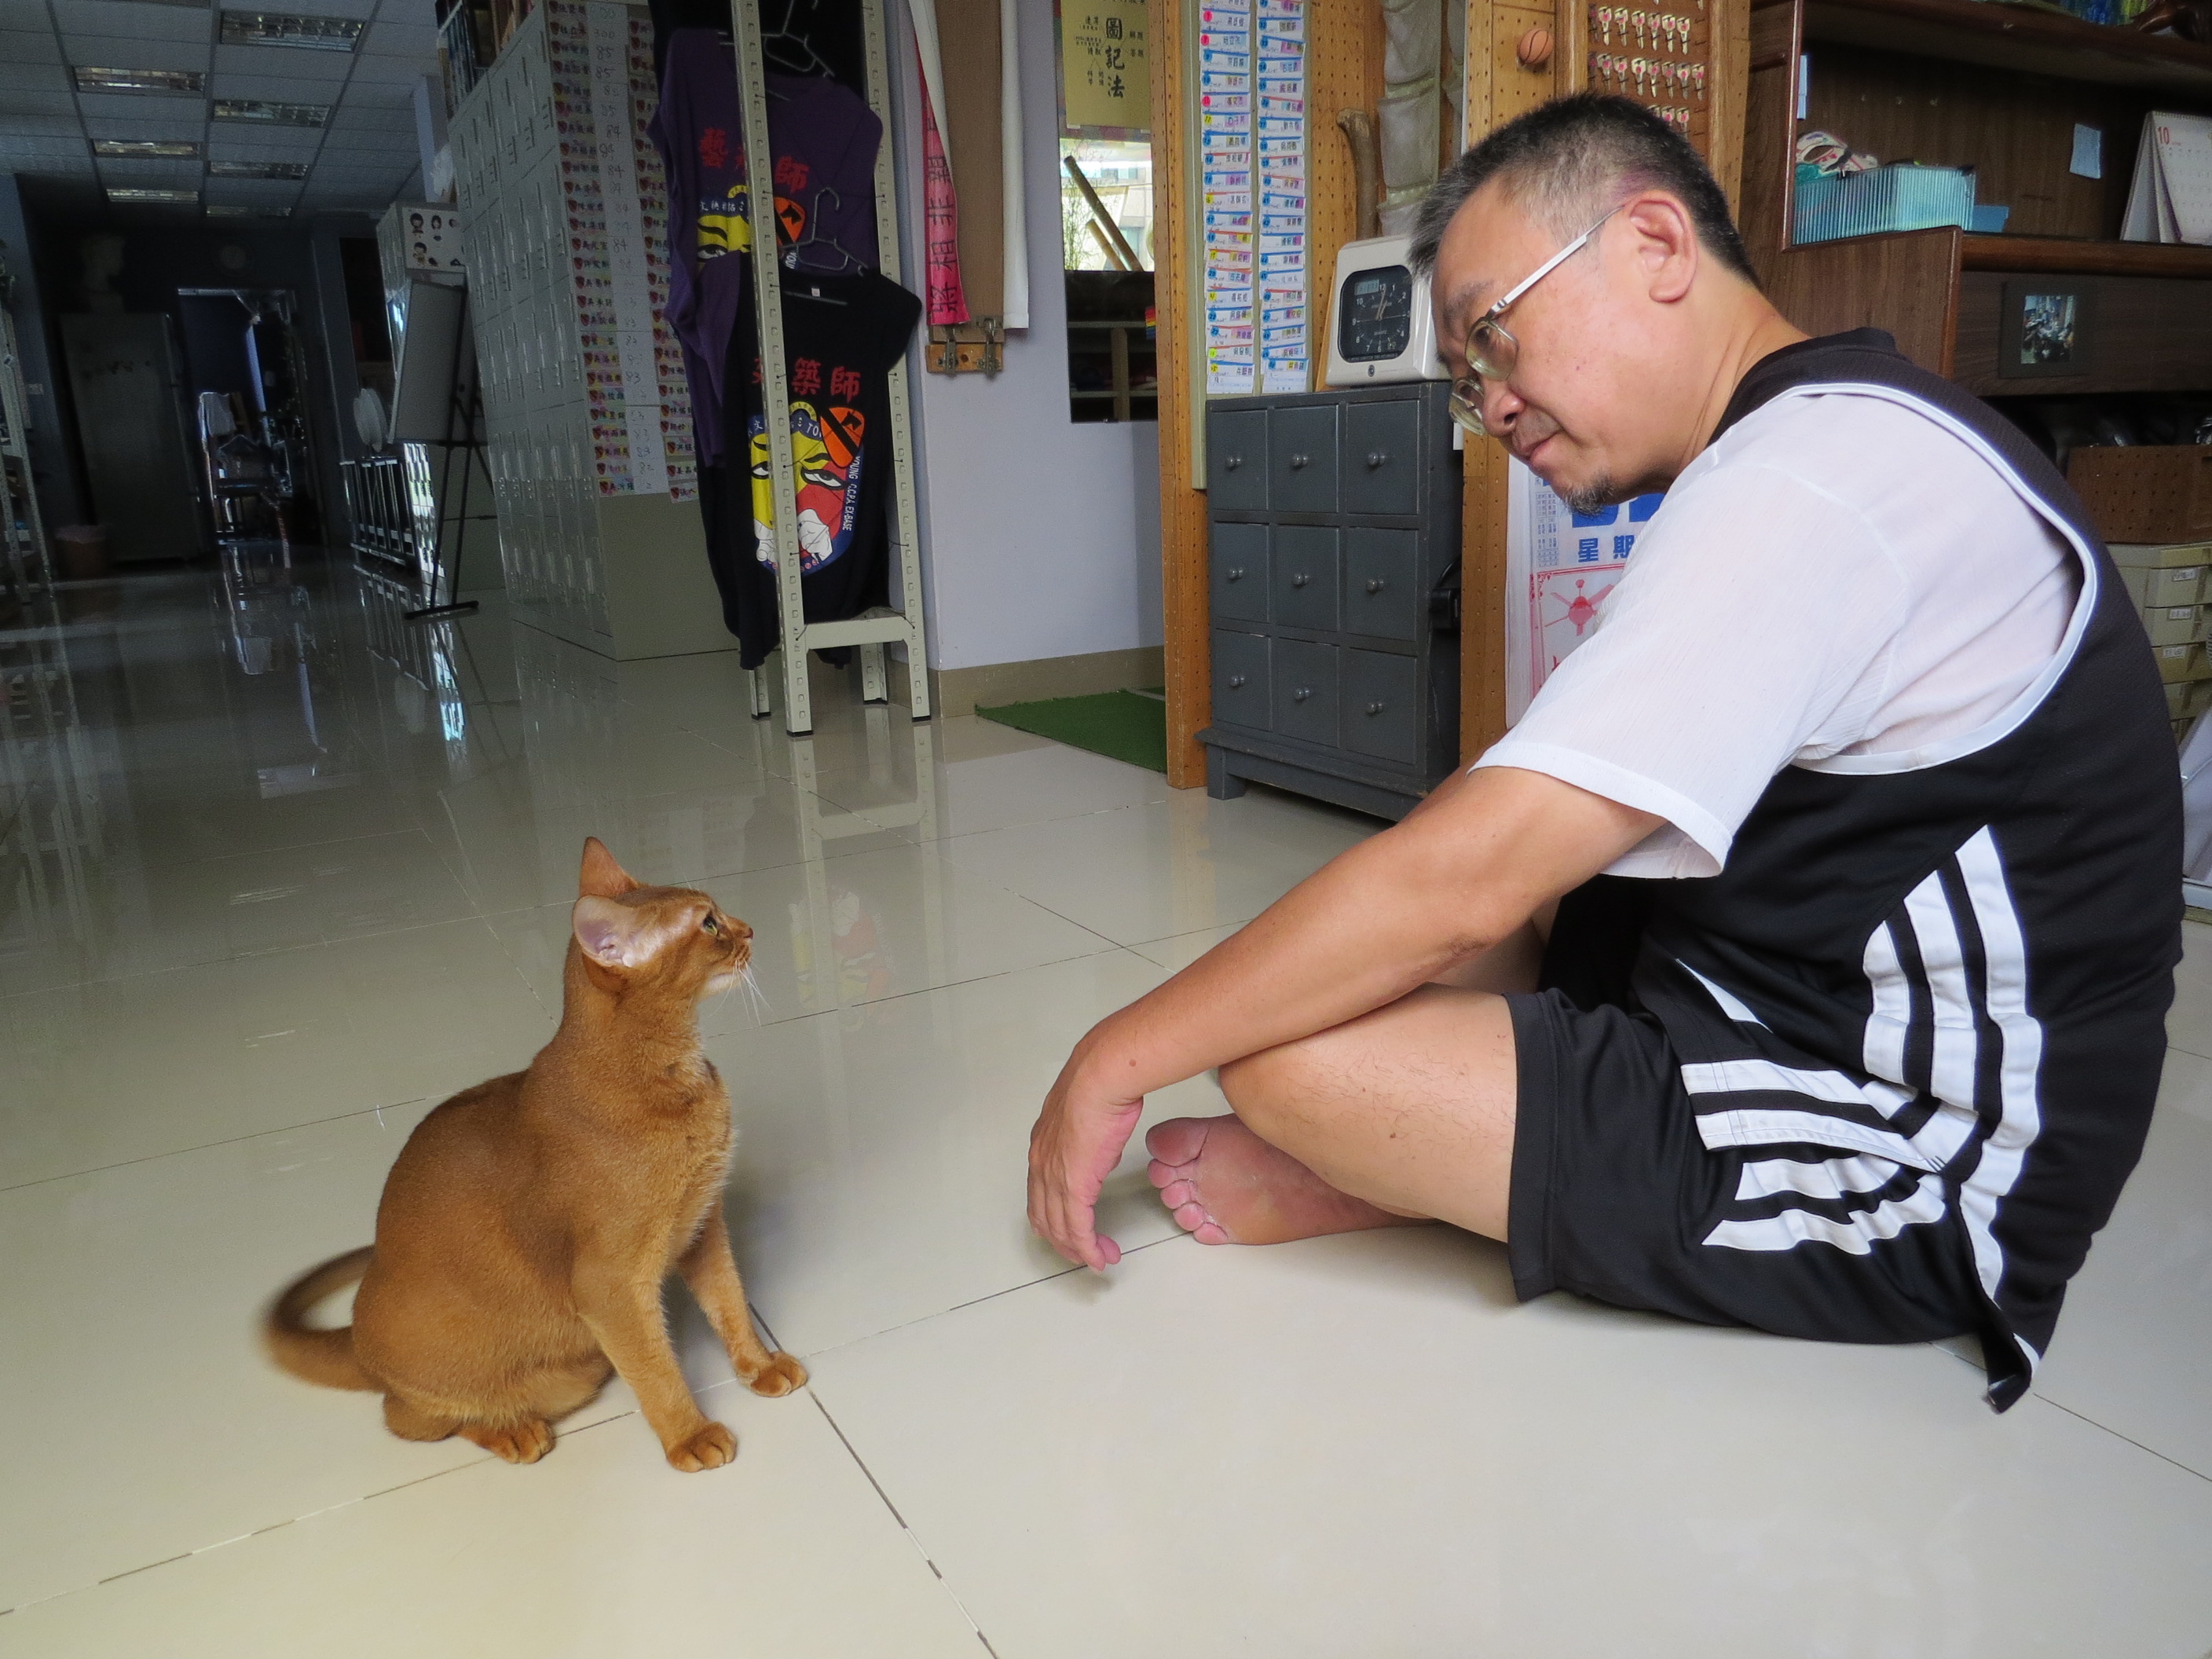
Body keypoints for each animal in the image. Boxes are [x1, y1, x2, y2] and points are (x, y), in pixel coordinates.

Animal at [264, 837, 805, 1471]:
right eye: (709, 925)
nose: (750, 929)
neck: (669, 1074)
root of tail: (355, 1336)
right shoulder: (610, 1287)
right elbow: (656, 1368)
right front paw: (689, 1435)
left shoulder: (701, 1225)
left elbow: (730, 1302)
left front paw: (761, 1366)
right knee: (411, 1418)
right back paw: (512, 1431)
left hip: (581, 1368)